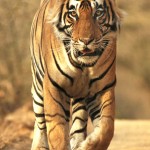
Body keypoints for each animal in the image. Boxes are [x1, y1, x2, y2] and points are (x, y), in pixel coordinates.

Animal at [30, 0, 123, 150]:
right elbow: (57, 131)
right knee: (40, 124)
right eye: (73, 13)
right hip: (38, 89)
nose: (86, 41)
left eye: (98, 12)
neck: (83, 65)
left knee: (78, 124)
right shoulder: (54, 86)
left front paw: (88, 144)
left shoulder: (102, 88)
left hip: (80, 95)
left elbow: (107, 128)